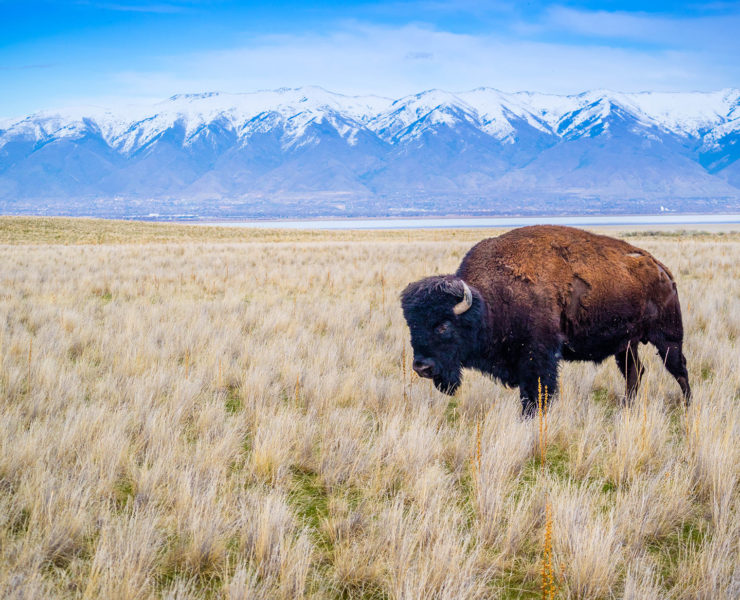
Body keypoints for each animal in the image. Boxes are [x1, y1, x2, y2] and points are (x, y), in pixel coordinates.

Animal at [402, 223, 692, 414]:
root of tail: (661, 269)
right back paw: (627, 407)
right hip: (626, 345)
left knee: (679, 370)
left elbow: (537, 393)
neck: (487, 302)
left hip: (667, 337)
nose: (421, 367)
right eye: (412, 326)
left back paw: (688, 406)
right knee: (635, 372)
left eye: (443, 325)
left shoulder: (538, 357)